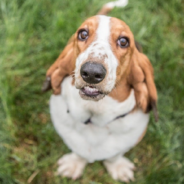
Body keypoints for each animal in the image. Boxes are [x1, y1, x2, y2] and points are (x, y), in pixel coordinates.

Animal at [42, 0, 158, 181]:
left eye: (123, 41)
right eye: (83, 34)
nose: (91, 72)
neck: (94, 117)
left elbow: (114, 156)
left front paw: (117, 168)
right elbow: (78, 152)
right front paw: (74, 164)